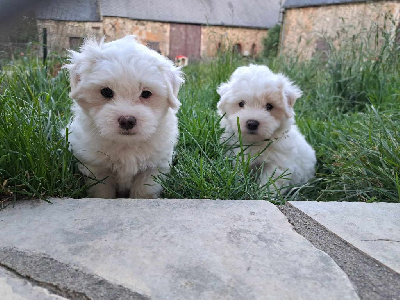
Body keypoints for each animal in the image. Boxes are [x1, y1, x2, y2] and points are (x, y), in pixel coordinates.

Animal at [64, 35, 184, 199]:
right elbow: (102, 192)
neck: (127, 144)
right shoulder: (96, 168)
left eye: (146, 93)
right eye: (106, 92)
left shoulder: (153, 168)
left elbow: (144, 191)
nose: (127, 120)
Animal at [219, 64, 316, 192]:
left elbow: (270, 183)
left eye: (269, 106)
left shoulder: (277, 164)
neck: (255, 142)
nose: (252, 123)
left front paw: (263, 193)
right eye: (241, 104)